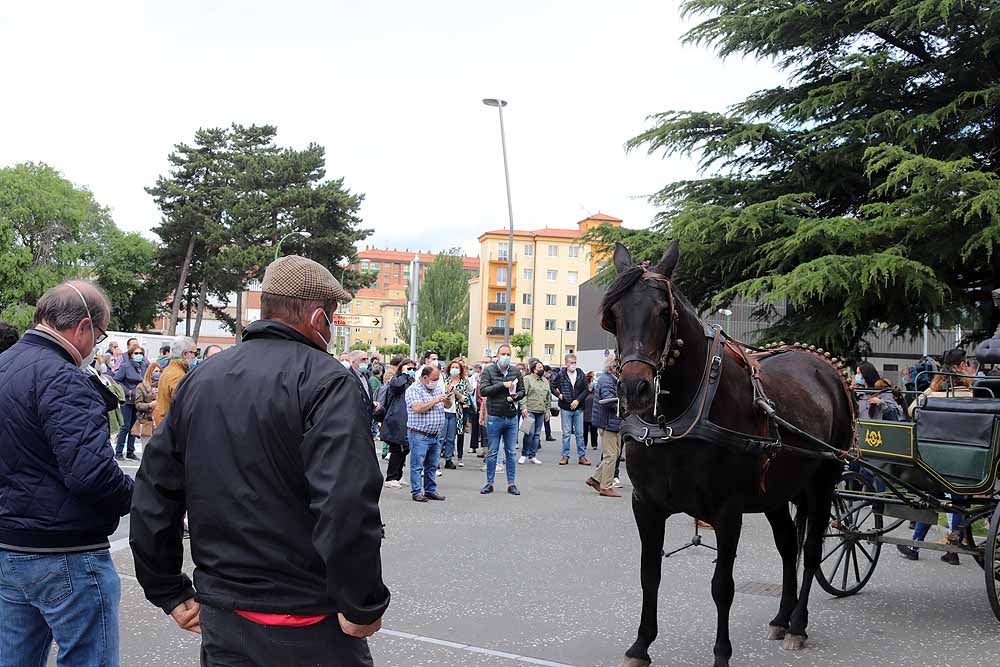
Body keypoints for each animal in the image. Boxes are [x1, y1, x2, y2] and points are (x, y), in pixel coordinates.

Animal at [604, 241, 856, 667]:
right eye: (615, 314)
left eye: (663, 312)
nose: (634, 389)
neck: (678, 417)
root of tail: (827, 368)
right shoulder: (646, 505)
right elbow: (649, 574)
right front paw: (641, 645)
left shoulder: (727, 510)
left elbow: (723, 585)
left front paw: (722, 654)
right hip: (777, 492)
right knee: (788, 546)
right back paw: (782, 617)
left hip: (823, 481)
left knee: (811, 549)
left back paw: (798, 624)